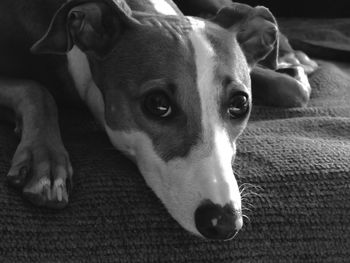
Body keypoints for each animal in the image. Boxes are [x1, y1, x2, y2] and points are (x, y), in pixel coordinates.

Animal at [0, 0, 318, 240]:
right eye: (157, 103)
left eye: (240, 104)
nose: (224, 224)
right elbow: (37, 90)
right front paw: (46, 162)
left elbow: (292, 88)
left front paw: (292, 70)